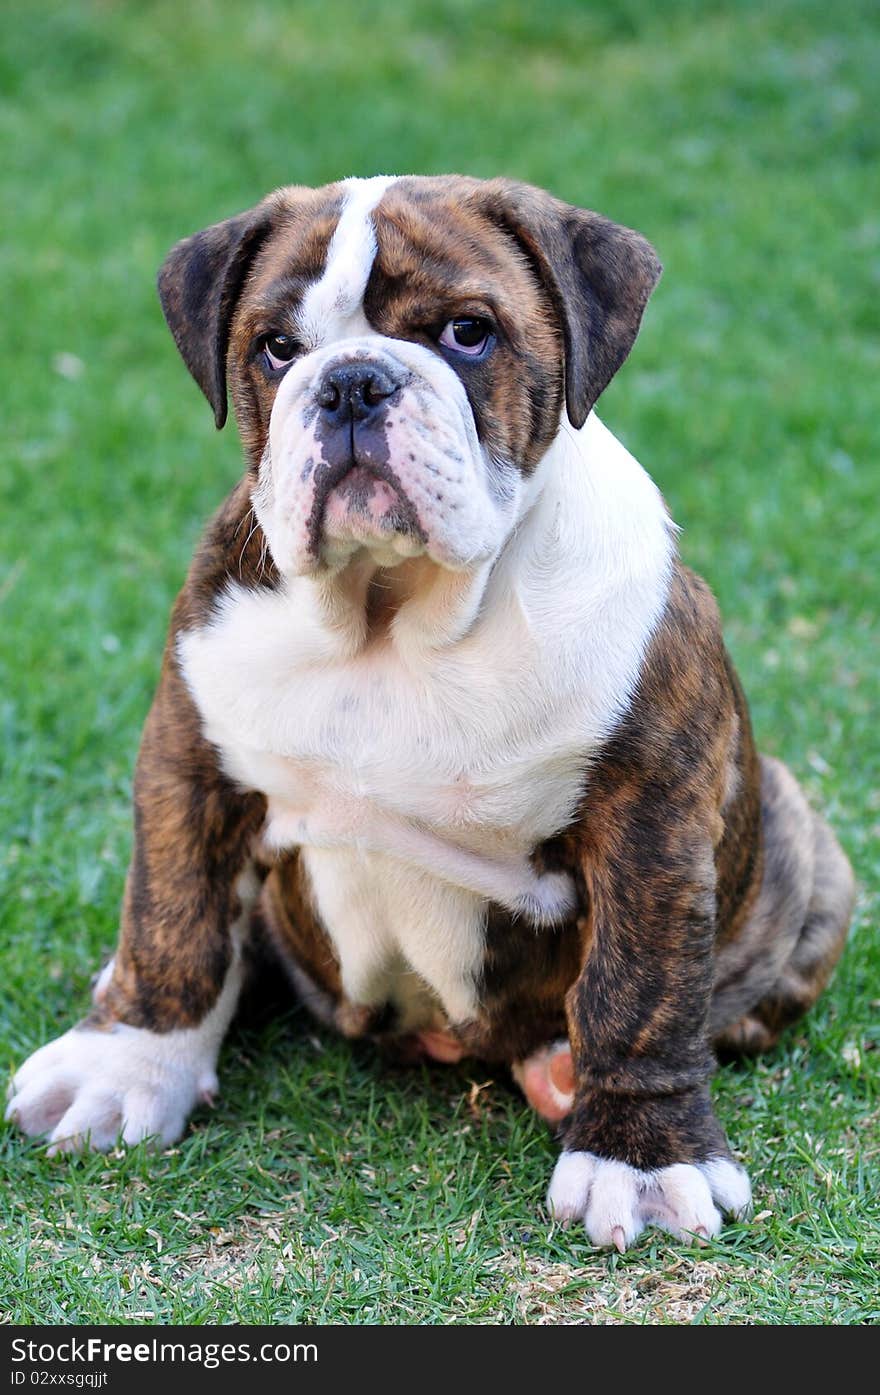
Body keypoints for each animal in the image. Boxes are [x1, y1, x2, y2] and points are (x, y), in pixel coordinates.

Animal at [6, 177, 859, 1255]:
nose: (352, 383)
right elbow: (175, 915)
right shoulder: (190, 760)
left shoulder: (651, 810)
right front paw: (129, 1064)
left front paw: (641, 1156)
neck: (390, 615)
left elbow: (640, 983)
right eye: (275, 347)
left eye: (467, 333)